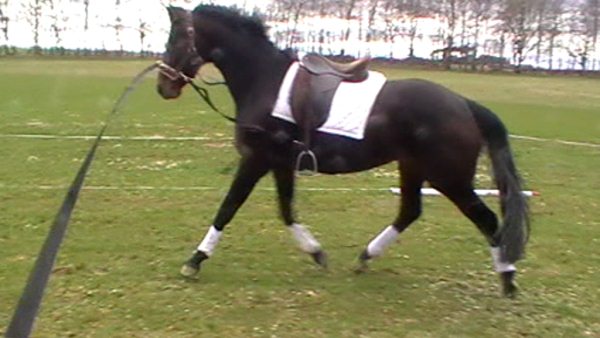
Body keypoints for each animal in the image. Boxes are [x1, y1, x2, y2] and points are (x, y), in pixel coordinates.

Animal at [156, 4, 528, 296]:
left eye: (177, 39)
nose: (163, 87)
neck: (265, 82)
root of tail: (463, 104)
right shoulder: (280, 163)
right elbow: (286, 212)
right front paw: (317, 253)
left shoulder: (256, 160)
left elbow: (228, 208)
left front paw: (195, 260)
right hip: (413, 167)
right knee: (409, 211)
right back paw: (365, 258)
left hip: (449, 178)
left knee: (486, 219)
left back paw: (508, 279)